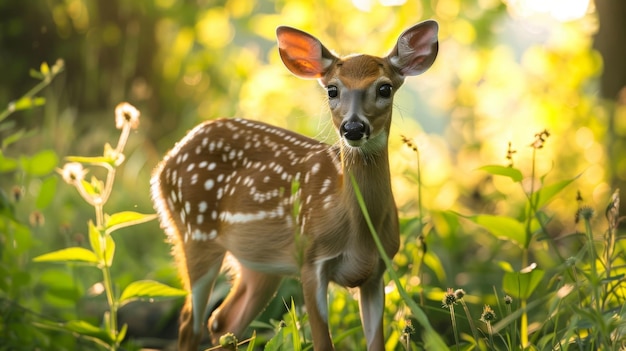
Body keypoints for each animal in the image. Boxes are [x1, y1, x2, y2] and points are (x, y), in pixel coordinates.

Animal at [149, 20, 436, 350]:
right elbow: (323, 342)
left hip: (259, 263)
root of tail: (163, 166)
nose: (353, 127)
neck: (359, 231)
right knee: (189, 322)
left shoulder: (378, 271)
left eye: (385, 88)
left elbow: (376, 342)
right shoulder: (310, 259)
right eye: (332, 89)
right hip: (195, 233)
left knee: (223, 321)